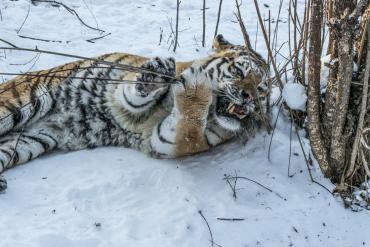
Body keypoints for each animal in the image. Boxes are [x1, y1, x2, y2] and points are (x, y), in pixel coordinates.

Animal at [0, 34, 268, 191]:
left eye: (261, 89)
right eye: (239, 72)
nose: (248, 97)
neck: (213, 110)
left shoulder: (168, 140)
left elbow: (189, 125)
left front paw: (194, 89)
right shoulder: (122, 90)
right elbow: (135, 93)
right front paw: (161, 76)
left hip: (28, 141)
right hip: (26, 101)